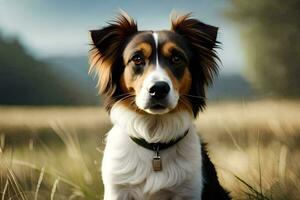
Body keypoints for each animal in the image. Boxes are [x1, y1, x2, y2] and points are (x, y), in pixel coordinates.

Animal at [88, 12, 230, 200]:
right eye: (137, 59)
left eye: (176, 58)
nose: (159, 89)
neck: (155, 144)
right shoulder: (117, 191)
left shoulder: (188, 190)